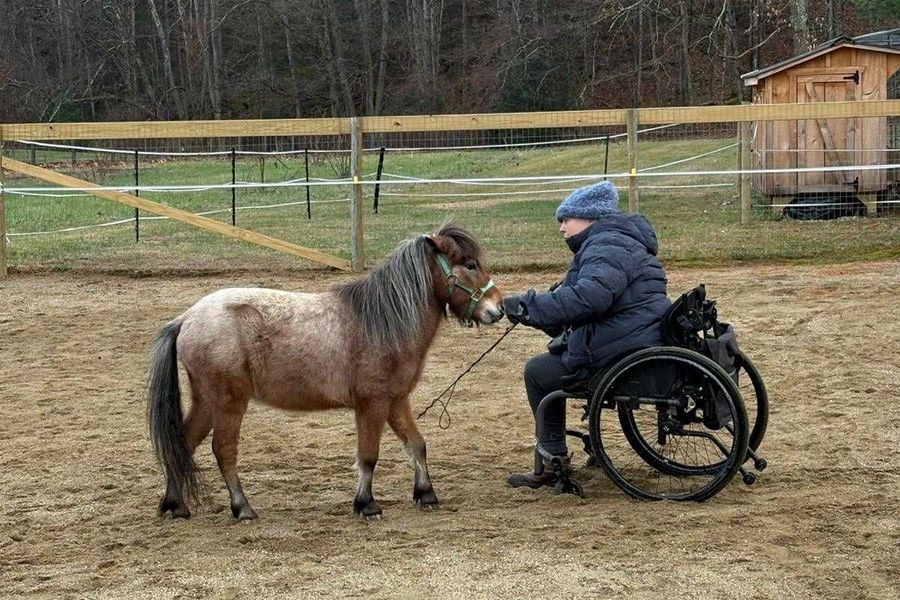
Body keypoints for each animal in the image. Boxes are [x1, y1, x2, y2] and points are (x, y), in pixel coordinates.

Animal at [147, 223, 504, 521]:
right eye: (469, 265)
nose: (499, 308)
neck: (381, 321)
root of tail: (187, 318)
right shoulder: (372, 404)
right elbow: (368, 455)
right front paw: (366, 504)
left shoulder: (396, 400)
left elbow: (416, 444)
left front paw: (425, 493)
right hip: (228, 402)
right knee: (223, 450)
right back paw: (242, 508)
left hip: (207, 401)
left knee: (183, 443)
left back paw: (175, 505)